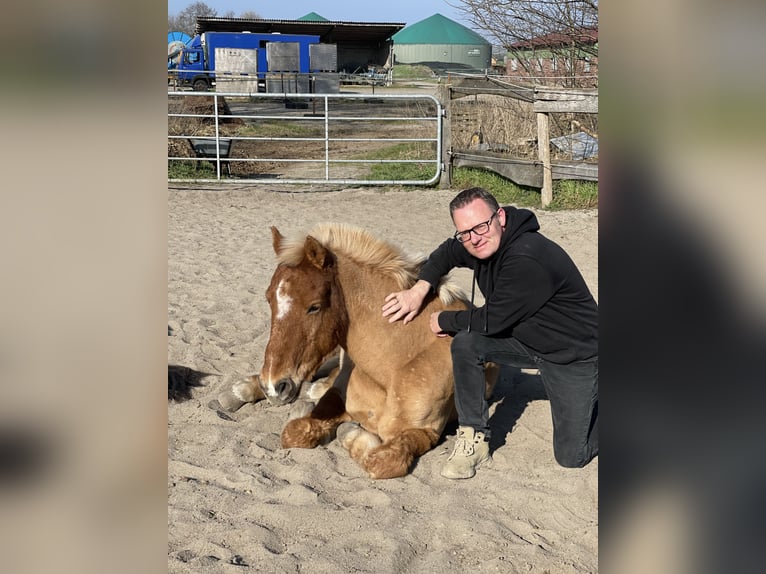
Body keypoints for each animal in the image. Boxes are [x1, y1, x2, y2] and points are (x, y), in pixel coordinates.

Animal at [228, 223, 497, 479]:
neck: (396, 365)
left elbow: (379, 461)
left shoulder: (423, 431)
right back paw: (242, 390)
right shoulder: (337, 396)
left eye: (314, 307)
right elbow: (294, 433)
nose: (274, 386)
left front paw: (350, 431)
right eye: (269, 299)